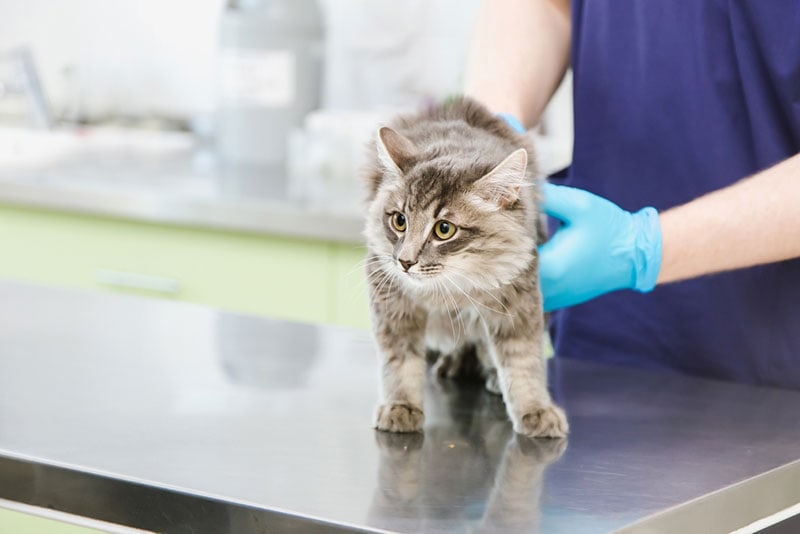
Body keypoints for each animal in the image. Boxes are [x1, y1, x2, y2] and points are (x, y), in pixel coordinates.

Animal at [364, 96, 568, 440]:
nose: (405, 261)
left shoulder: (519, 300)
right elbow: (400, 361)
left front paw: (535, 410)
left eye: (444, 229)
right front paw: (401, 406)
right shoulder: (392, 300)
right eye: (400, 221)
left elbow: (523, 361)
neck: (451, 286)